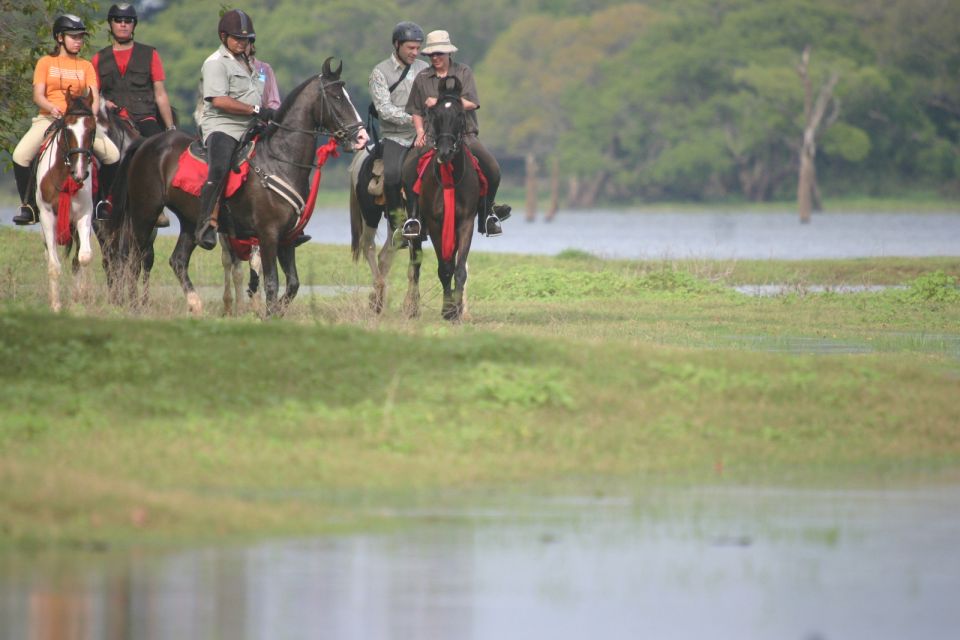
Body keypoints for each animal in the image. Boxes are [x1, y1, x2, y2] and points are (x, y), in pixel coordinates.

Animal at [35, 88, 98, 312]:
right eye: (68, 129)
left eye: (92, 129)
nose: (79, 173)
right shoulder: (47, 217)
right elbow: (54, 265)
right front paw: (56, 305)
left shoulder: (84, 216)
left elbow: (83, 258)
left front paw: (78, 300)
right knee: (49, 254)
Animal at [101, 57, 364, 316]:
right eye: (337, 97)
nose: (362, 137)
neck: (278, 160)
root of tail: (145, 144)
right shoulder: (268, 235)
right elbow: (272, 282)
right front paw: (268, 316)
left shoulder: (287, 238)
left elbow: (292, 284)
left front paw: (275, 312)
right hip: (144, 213)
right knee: (133, 257)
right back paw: (134, 307)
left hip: (189, 221)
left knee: (177, 260)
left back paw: (195, 304)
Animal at [402, 75, 484, 322]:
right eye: (435, 115)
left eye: (459, 115)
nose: (445, 152)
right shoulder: (437, 223)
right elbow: (444, 268)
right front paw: (448, 310)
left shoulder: (465, 223)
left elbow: (459, 269)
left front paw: (456, 309)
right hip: (415, 230)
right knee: (415, 265)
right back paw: (412, 307)